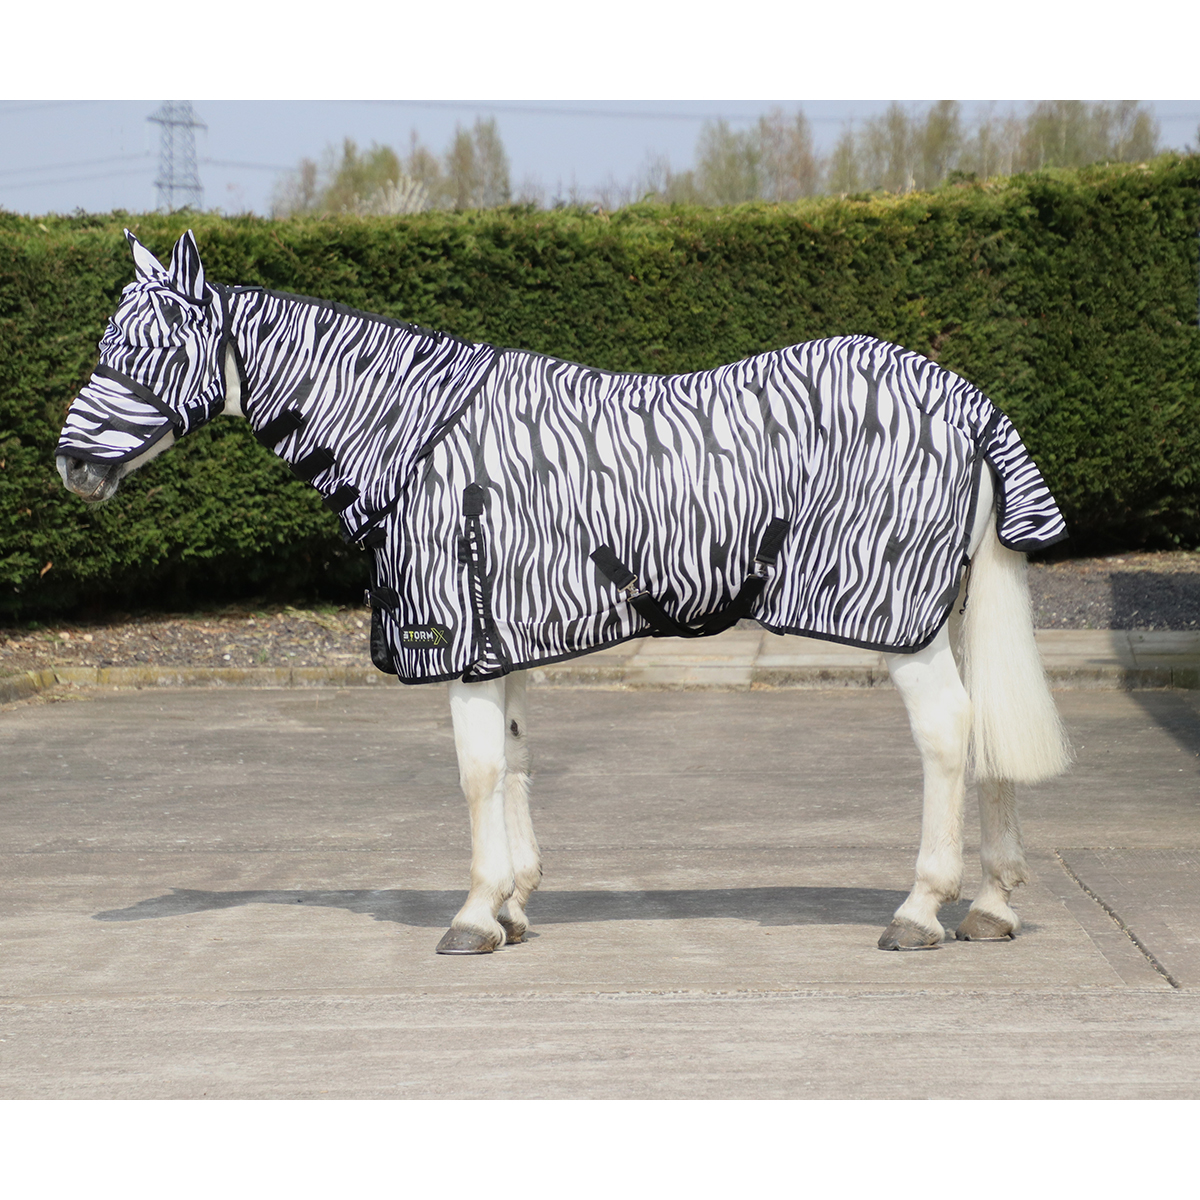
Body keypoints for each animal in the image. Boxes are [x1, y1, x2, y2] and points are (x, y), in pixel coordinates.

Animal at [56, 229, 1071, 954]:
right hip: (956, 607)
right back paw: (991, 908)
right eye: (107, 343)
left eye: (147, 350)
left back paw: (920, 910)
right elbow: (514, 762)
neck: (414, 436)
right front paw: (512, 908)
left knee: (948, 731)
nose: (71, 467)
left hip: (902, 624)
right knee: (988, 733)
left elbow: (475, 772)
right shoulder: (501, 637)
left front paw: (473, 917)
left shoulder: (457, 639)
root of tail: (963, 397)